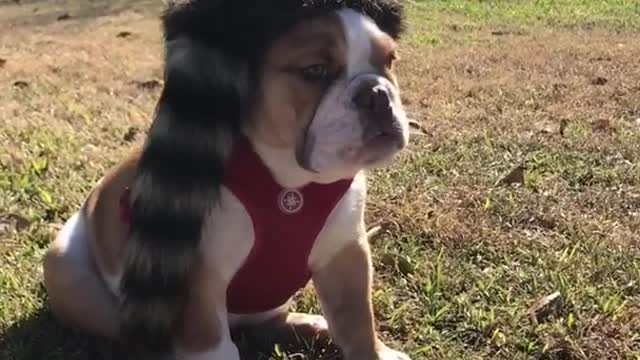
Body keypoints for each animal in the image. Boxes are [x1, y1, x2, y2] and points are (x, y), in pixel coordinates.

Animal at [45, 1, 412, 358]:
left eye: (390, 61)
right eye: (314, 71)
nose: (377, 92)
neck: (291, 180)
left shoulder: (347, 253)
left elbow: (358, 322)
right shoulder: (196, 275)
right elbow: (214, 344)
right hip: (67, 269)